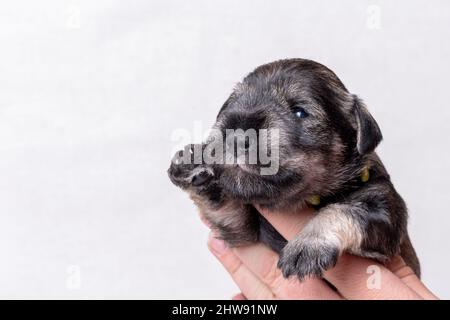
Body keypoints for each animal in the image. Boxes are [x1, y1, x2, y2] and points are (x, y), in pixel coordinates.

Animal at [167, 58, 420, 278]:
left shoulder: (385, 211)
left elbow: (344, 210)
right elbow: (223, 204)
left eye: (300, 111)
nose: (236, 136)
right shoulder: (243, 231)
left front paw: (308, 244)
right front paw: (193, 161)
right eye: (231, 104)